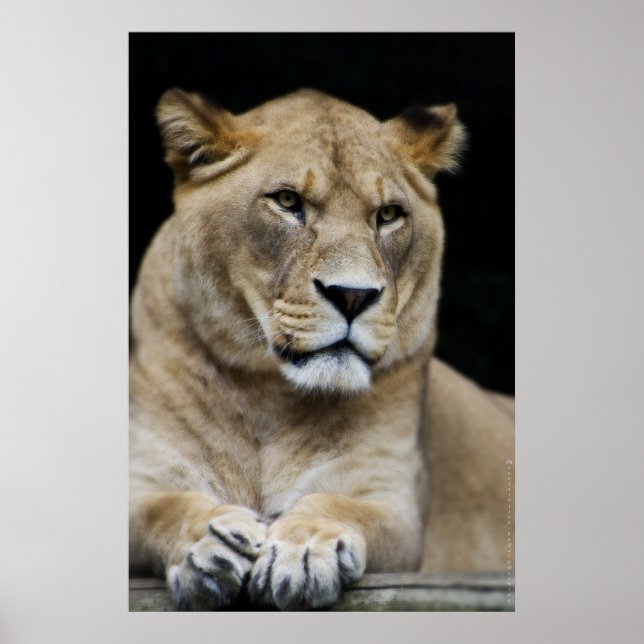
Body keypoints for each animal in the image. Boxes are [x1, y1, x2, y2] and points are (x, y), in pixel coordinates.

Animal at [129, 88, 514, 611]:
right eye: (288, 201)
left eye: (388, 215)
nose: (352, 295)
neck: (268, 397)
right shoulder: (145, 474)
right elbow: (161, 508)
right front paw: (211, 543)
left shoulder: (389, 494)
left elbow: (340, 504)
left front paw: (305, 547)